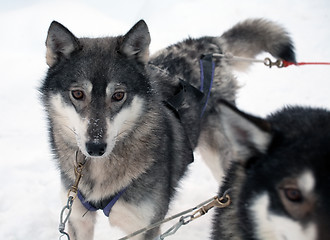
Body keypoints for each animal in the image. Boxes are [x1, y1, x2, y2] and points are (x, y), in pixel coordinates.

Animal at [40, 19, 296, 240]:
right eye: (77, 94)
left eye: (119, 95)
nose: (95, 147)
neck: (98, 172)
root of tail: (208, 45)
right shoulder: (78, 219)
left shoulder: (145, 228)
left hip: (219, 157)